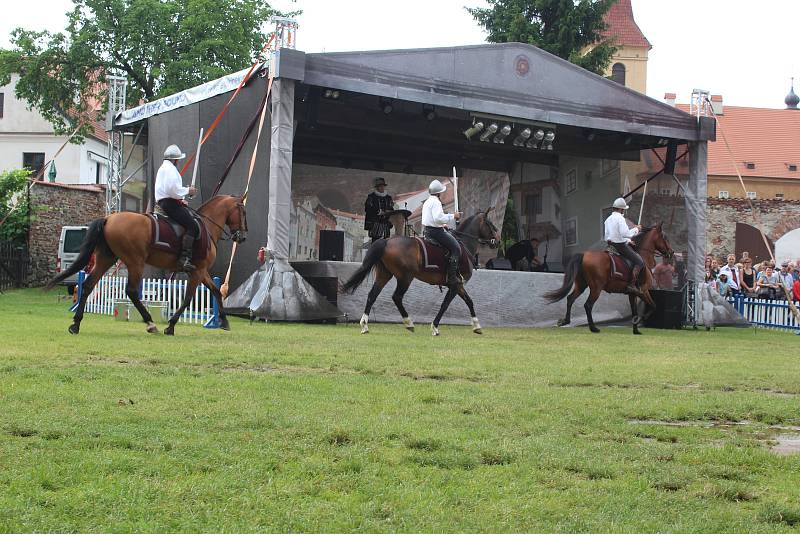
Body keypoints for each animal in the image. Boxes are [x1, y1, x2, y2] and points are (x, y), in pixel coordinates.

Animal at [47, 197, 247, 338]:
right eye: (243, 212)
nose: (242, 237)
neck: (207, 227)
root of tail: (108, 218)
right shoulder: (197, 272)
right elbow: (188, 299)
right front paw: (171, 326)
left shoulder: (202, 272)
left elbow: (216, 291)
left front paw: (224, 321)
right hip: (135, 262)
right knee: (131, 291)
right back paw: (151, 323)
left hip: (106, 259)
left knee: (88, 285)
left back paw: (76, 324)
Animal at [340, 209, 500, 336]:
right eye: (490, 224)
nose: (498, 241)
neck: (463, 245)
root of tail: (386, 241)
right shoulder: (455, 285)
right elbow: (445, 305)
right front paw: (435, 327)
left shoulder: (458, 285)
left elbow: (469, 301)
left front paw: (477, 326)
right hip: (405, 278)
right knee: (396, 297)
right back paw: (409, 323)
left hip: (384, 275)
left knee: (372, 295)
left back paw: (365, 325)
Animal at [544, 222, 676, 336]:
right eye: (665, 238)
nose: (671, 252)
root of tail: (584, 255)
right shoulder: (643, 291)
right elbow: (653, 306)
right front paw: (639, 320)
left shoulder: (632, 294)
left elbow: (634, 310)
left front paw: (636, 330)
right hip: (596, 288)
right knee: (588, 305)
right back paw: (593, 328)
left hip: (581, 285)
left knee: (570, 299)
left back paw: (565, 321)